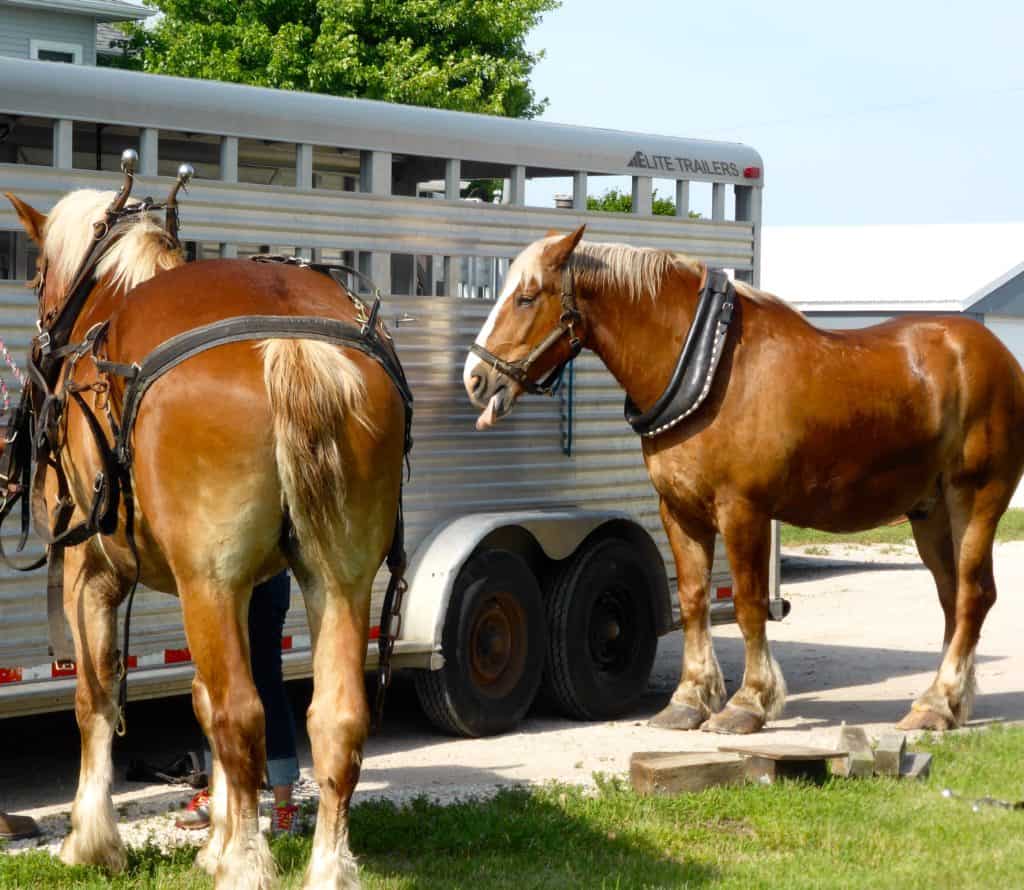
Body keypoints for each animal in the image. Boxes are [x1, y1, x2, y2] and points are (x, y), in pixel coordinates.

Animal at [5, 183, 406, 889]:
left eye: (35, 274)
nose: (41, 340)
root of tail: (291, 344)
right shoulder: (239, 586)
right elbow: (197, 697)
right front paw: (218, 835)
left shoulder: (93, 571)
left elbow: (96, 696)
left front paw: (93, 842)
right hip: (338, 578)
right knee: (334, 719)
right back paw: (323, 867)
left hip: (208, 584)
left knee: (241, 713)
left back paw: (244, 868)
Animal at [463, 225, 1024, 736]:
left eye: (526, 297)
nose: (475, 377)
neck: (709, 369)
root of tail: (998, 356)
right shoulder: (679, 511)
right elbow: (693, 599)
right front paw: (689, 699)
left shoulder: (743, 511)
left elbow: (750, 603)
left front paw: (748, 703)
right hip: (929, 511)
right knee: (952, 597)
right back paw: (946, 702)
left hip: (975, 499)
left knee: (973, 595)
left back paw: (937, 703)